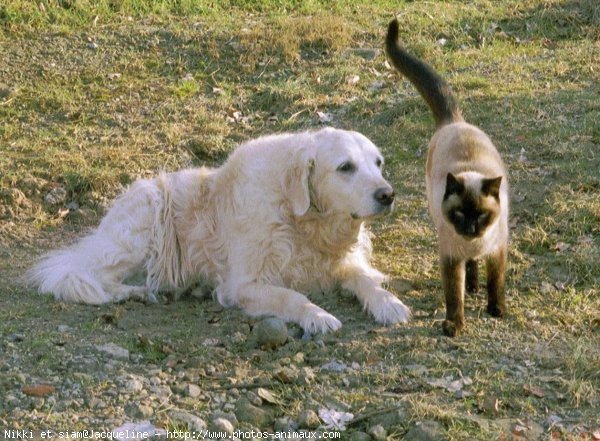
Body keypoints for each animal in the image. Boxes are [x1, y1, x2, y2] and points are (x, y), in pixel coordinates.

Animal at [28, 127, 412, 334]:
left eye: (378, 163)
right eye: (345, 167)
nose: (388, 194)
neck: (300, 217)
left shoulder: (341, 263)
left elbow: (365, 280)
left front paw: (389, 304)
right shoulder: (243, 284)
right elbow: (291, 296)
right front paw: (317, 316)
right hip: (146, 224)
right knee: (89, 278)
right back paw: (136, 292)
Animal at [386, 18, 508, 336]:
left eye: (481, 215)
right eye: (460, 214)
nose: (470, 228)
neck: (473, 243)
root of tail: (454, 121)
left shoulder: (497, 250)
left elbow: (496, 283)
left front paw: (496, 309)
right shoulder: (451, 258)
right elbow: (454, 295)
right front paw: (454, 325)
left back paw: (476, 287)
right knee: (469, 270)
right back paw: (472, 285)